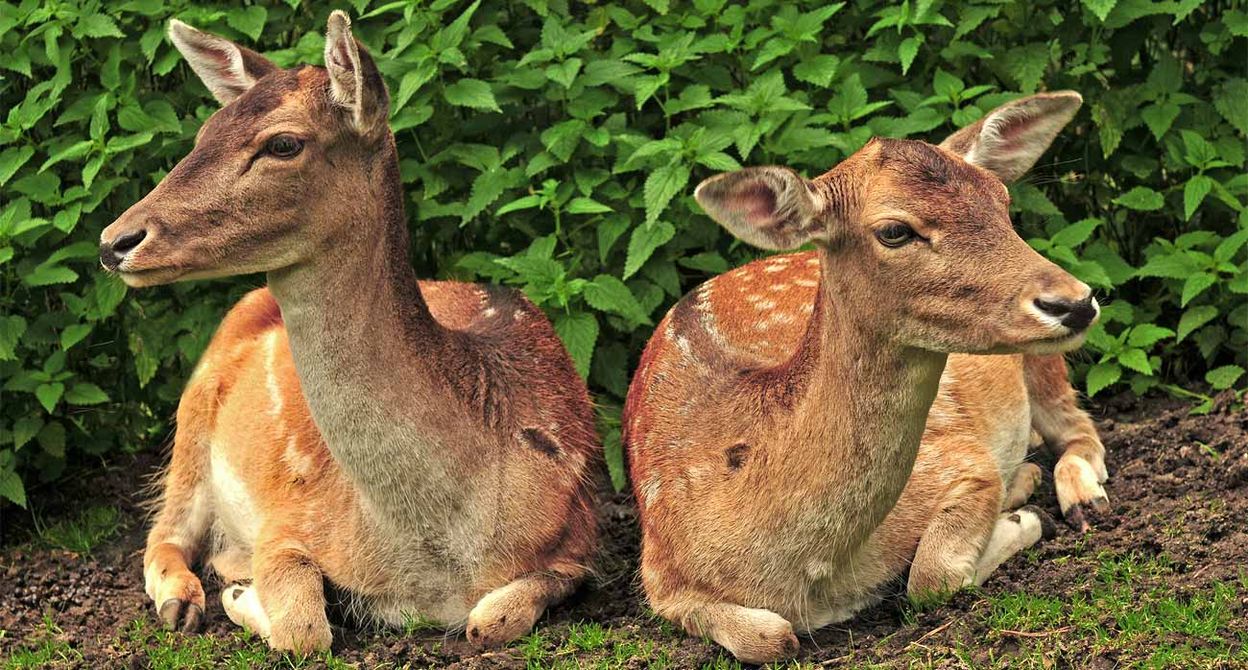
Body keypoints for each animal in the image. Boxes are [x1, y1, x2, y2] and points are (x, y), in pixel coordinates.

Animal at [96, 13, 599, 653]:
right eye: (204, 131)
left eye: (283, 143)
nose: (115, 240)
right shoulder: (290, 517)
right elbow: (305, 628)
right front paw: (241, 596)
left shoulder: (580, 537)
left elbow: (491, 620)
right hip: (193, 414)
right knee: (164, 531)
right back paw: (186, 599)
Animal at [624, 91, 1103, 658]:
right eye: (894, 230)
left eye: (1003, 201)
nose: (1076, 302)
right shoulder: (657, 573)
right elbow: (770, 637)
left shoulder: (962, 459)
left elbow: (932, 576)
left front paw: (1023, 515)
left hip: (1040, 362)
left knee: (1079, 429)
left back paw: (1077, 496)